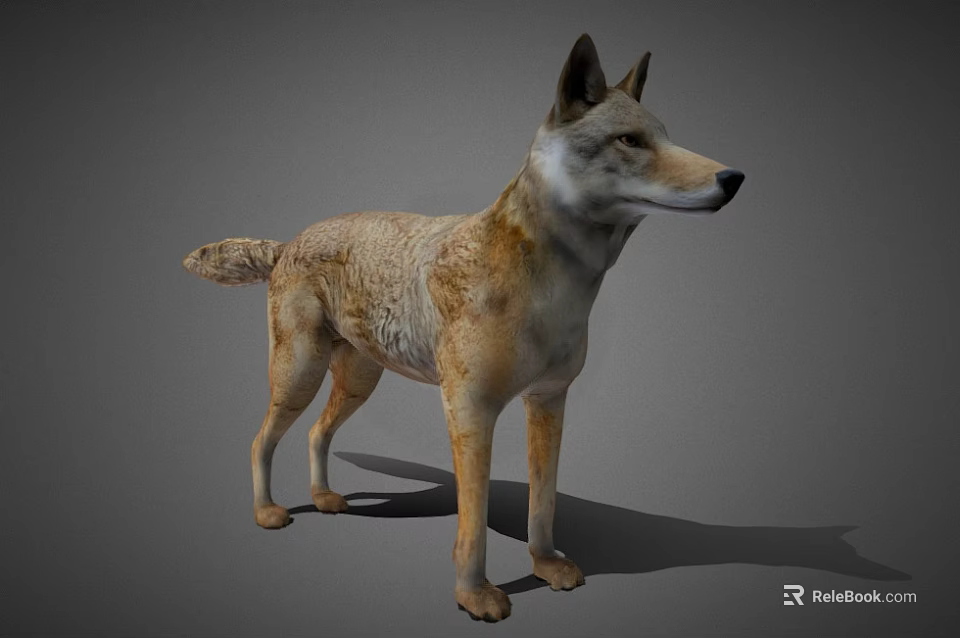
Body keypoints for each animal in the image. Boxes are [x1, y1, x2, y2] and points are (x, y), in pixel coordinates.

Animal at [182, 33, 745, 622]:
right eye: (630, 140)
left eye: (667, 137)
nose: (734, 178)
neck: (551, 283)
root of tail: (290, 241)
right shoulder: (471, 410)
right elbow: (472, 524)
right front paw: (475, 597)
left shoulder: (549, 401)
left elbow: (543, 503)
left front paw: (545, 566)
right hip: (300, 375)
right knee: (260, 440)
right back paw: (268, 511)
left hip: (358, 381)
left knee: (317, 433)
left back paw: (324, 500)